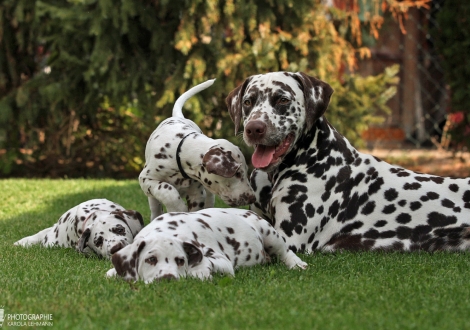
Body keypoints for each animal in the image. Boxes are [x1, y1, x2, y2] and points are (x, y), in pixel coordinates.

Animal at [140, 78, 258, 220]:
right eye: (237, 173)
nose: (252, 198)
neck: (180, 151)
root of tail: (178, 116)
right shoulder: (146, 179)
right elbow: (167, 190)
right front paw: (177, 208)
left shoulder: (196, 194)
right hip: (151, 197)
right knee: (155, 207)